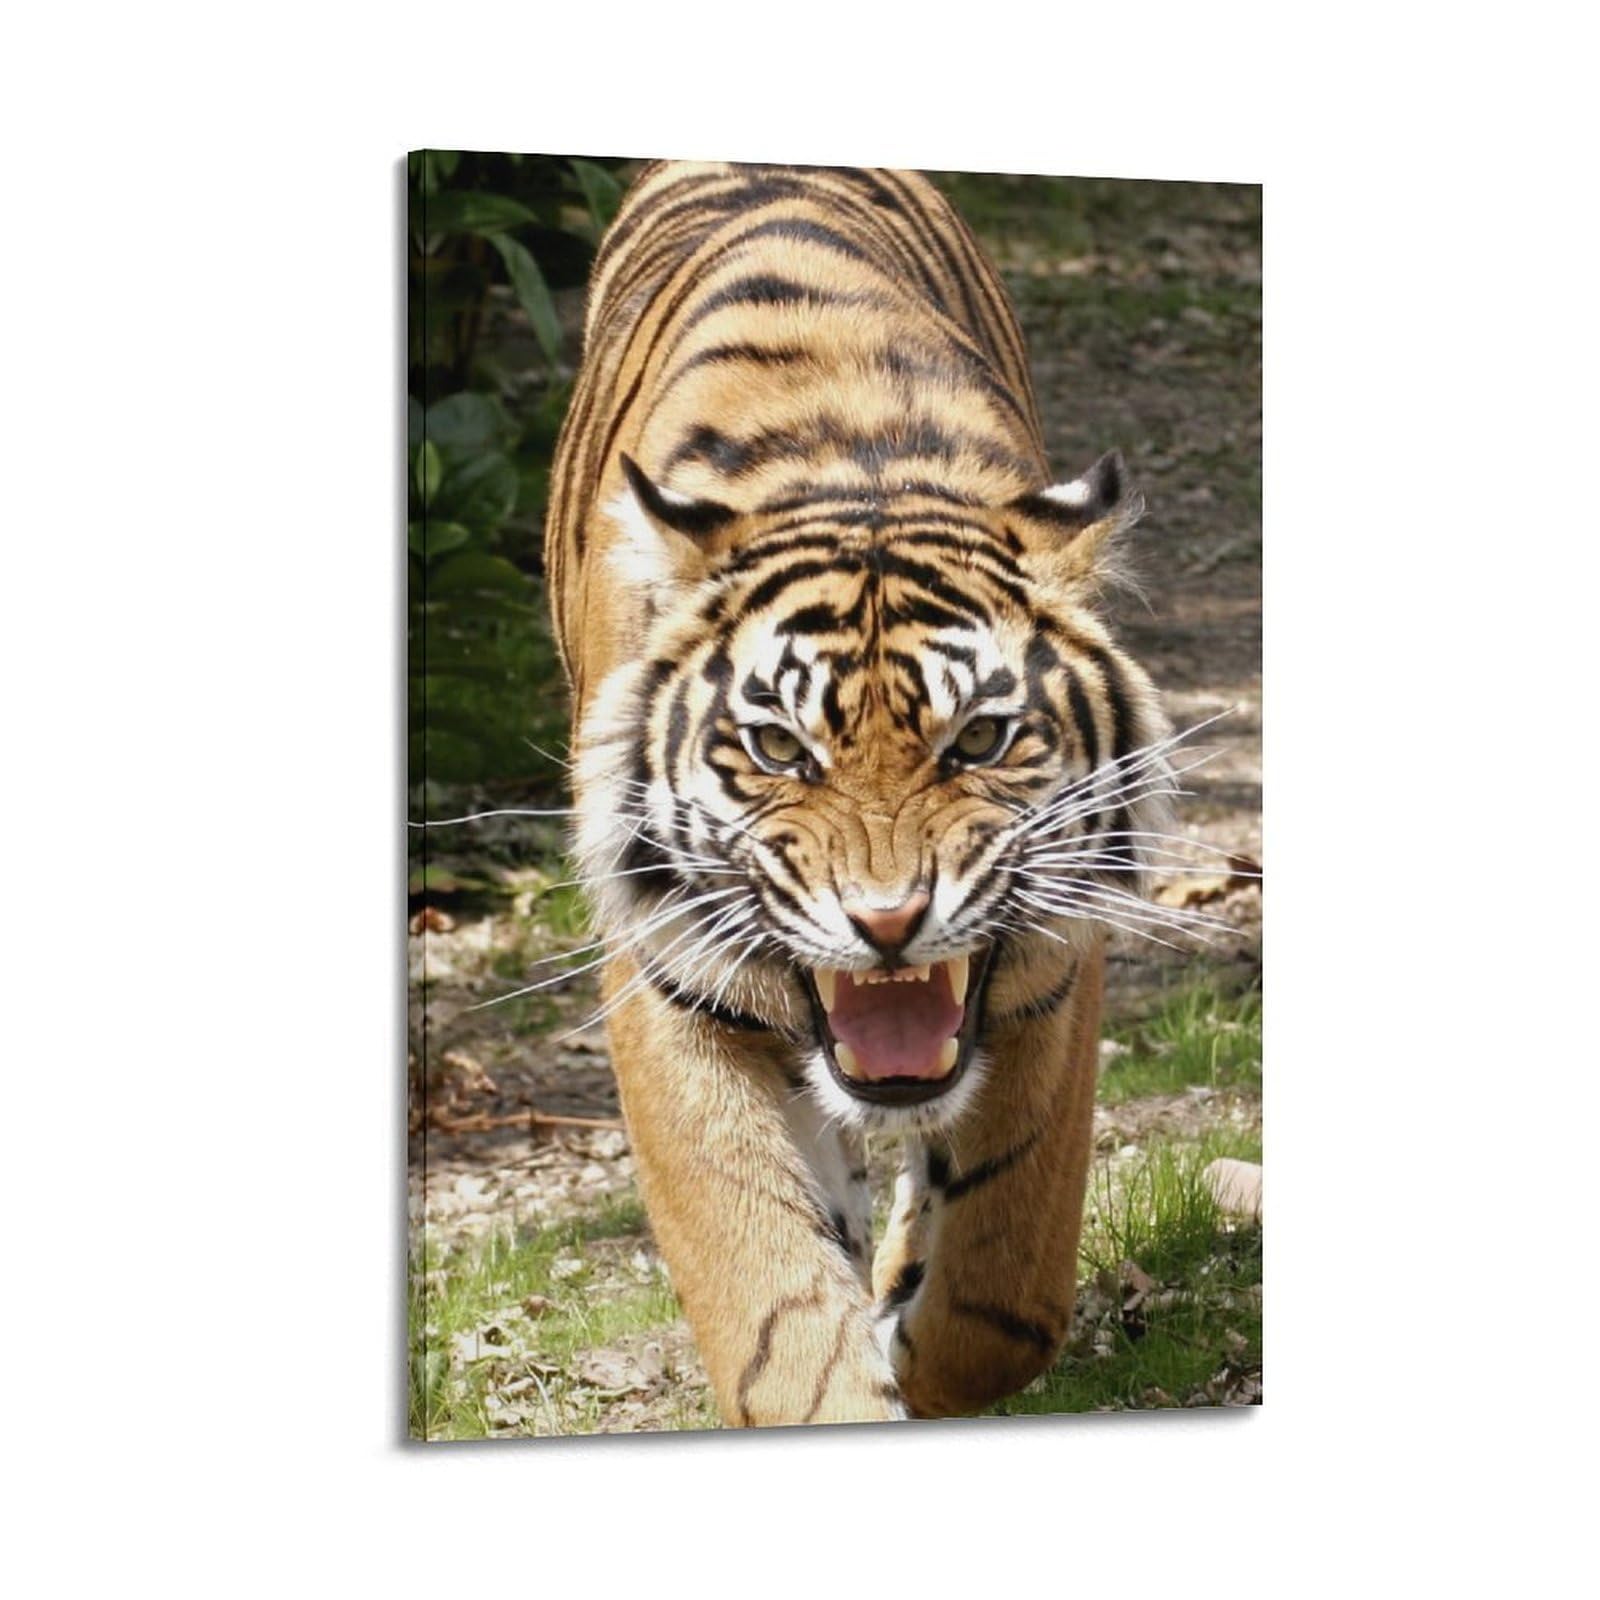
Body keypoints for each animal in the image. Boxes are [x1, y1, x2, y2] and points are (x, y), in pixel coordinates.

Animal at [544, 160, 1174, 1425]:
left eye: (978, 737)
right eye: (780, 749)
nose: (888, 923)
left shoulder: (1052, 965)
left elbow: (999, 1288)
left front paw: (914, 1332)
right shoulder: (665, 974)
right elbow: (774, 1311)